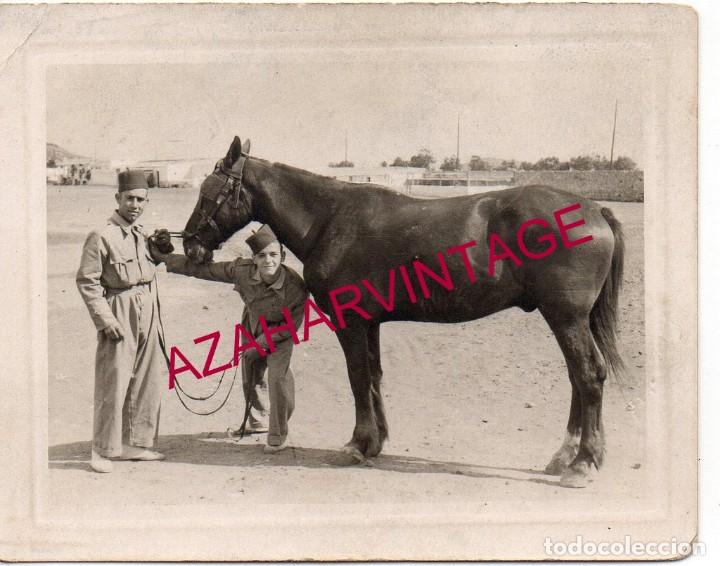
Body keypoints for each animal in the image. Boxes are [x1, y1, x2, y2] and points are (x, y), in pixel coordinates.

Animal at [181, 136, 625, 488]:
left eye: (210, 190)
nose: (189, 245)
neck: (331, 219)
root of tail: (594, 210)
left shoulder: (351, 323)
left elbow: (358, 377)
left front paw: (358, 445)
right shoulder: (371, 323)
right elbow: (374, 376)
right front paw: (375, 443)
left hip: (565, 318)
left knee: (588, 375)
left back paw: (582, 464)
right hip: (568, 320)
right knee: (578, 378)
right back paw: (566, 457)